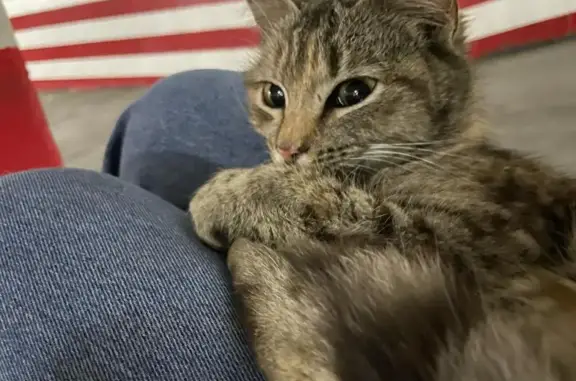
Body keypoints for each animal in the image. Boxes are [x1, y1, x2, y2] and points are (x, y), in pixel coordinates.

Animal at [189, 0, 576, 378]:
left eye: (353, 92)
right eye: (274, 95)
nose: (286, 150)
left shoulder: (474, 242)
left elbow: (334, 204)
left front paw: (229, 194)